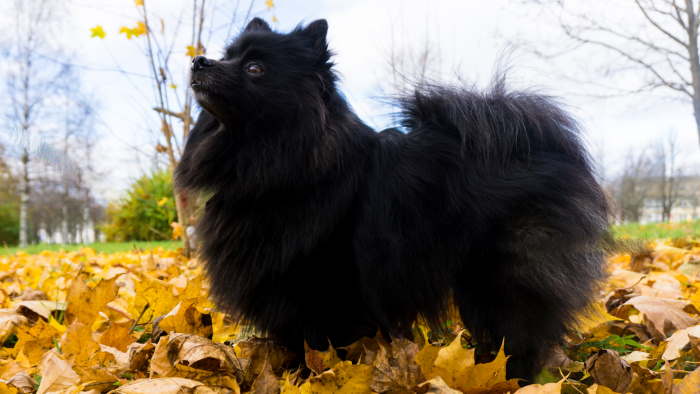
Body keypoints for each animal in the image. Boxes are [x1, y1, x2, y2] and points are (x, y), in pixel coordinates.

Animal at [178, 17, 608, 378]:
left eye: (255, 68)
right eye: (227, 55)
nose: (199, 60)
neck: (278, 158)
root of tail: (538, 143)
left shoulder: (319, 284)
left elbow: (319, 343)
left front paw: (315, 377)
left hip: (506, 273)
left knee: (521, 332)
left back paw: (512, 377)